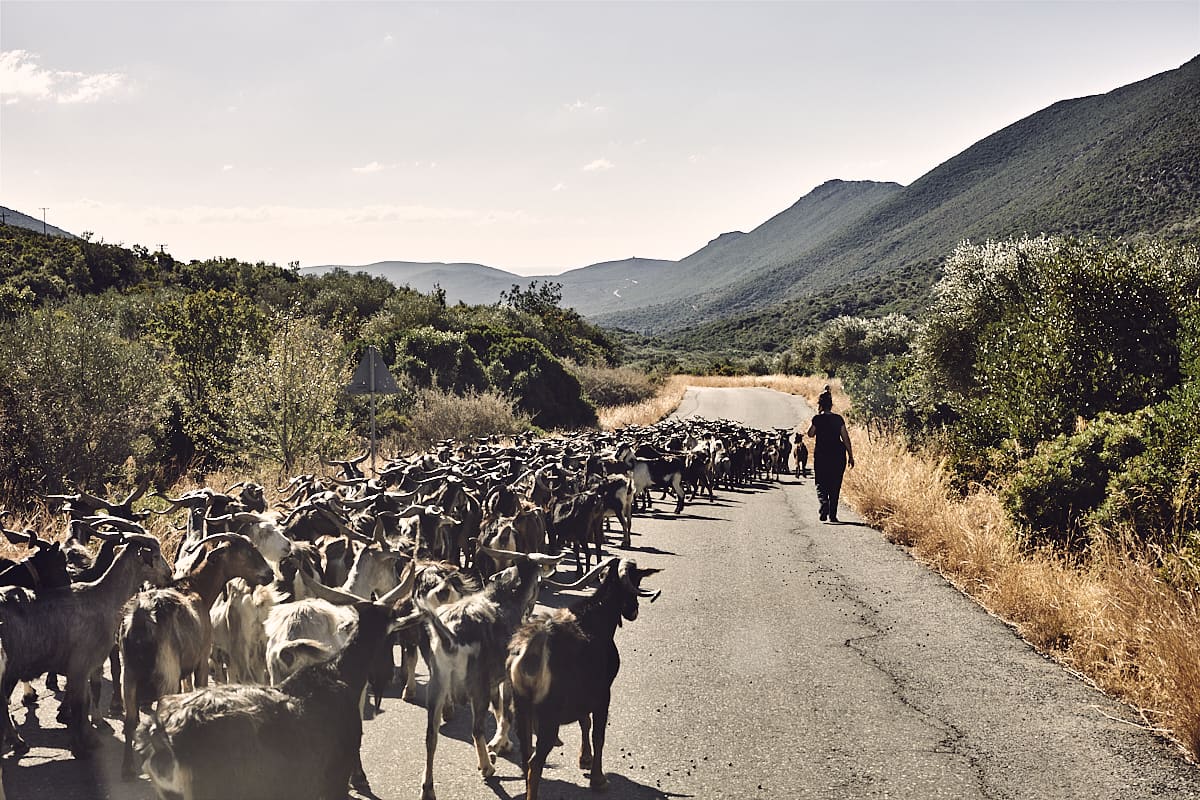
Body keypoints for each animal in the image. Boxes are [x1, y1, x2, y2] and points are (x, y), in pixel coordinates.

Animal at [0, 532, 171, 758]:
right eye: (156, 555)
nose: (170, 574)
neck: (104, 598)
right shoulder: (81, 664)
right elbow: (80, 705)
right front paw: (83, 743)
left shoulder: (87, 666)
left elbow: (86, 700)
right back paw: (17, 741)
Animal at [118, 534, 274, 777]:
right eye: (246, 552)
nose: (269, 574)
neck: (195, 587)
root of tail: (142, 621)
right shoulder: (201, 660)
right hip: (166, 673)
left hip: (129, 675)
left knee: (130, 721)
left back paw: (128, 769)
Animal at [504, 556, 662, 800]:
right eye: (636, 580)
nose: (633, 611)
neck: (597, 619)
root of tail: (529, 656)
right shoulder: (603, 692)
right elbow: (598, 734)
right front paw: (598, 779)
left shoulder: (584, 693)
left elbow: (584, 722)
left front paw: (584, 759)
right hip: (548, 715)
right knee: (534, 762)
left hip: (521, 708)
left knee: (526, 753)